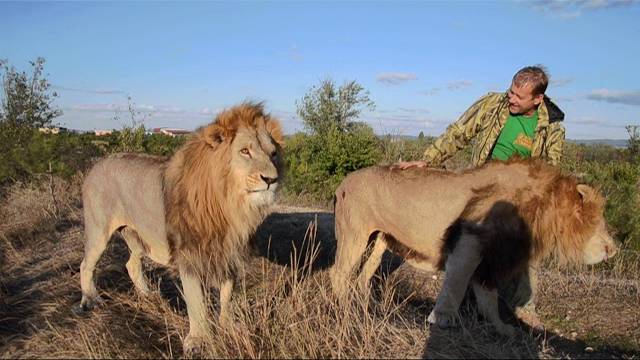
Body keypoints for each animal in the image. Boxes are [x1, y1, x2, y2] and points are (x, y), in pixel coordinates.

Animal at [77, 101, 282, 352]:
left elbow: (227, 295)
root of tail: (96, 165)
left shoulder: (228, 251)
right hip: (99, 230)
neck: (229, 205)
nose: (271, 180)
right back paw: (90, 300)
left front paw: (228, 327)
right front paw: (198, 341)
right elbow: (197, 302)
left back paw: (148, 296)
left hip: (139, 235)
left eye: (273, 154)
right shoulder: (189, 254)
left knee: (131, 264)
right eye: (245, 151)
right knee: (86, 264)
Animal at [330, 159, 616, 336]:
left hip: (380, 240)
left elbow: (489, 301)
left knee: (362, 276)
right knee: (339, 273)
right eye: (597, 220)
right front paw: (442, 320)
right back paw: (345, 308)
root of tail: (343, 182)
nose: (613, 249)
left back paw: (365, 305)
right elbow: (455, 287)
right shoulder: (469, 243)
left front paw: (502, 329)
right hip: (354, 235)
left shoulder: (491, 259)